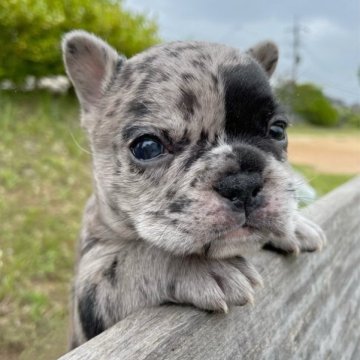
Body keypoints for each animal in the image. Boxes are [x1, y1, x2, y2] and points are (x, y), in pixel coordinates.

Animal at [62, 31, 326, 348]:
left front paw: (295, 226)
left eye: (278, 130)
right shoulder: (90, 290)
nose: (242, 182)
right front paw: (199, 267)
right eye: (147, 147)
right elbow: (133, 259)